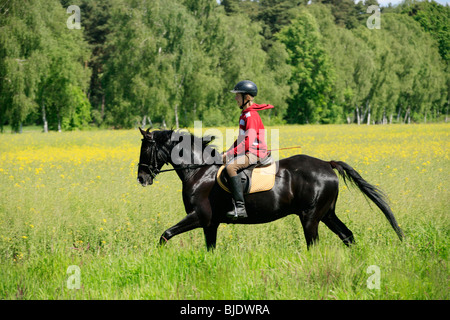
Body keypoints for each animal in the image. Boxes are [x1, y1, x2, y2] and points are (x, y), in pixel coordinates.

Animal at [137, 127, 404, 250]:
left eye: (145, 149)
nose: (141, 178)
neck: (201, 171)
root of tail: (327, 165)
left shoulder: (200, 216)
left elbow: (165, 235)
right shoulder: (210, 224)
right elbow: (209, 249)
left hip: (310, 218)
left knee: (315, 245)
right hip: (327, 213)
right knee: (347, 236)